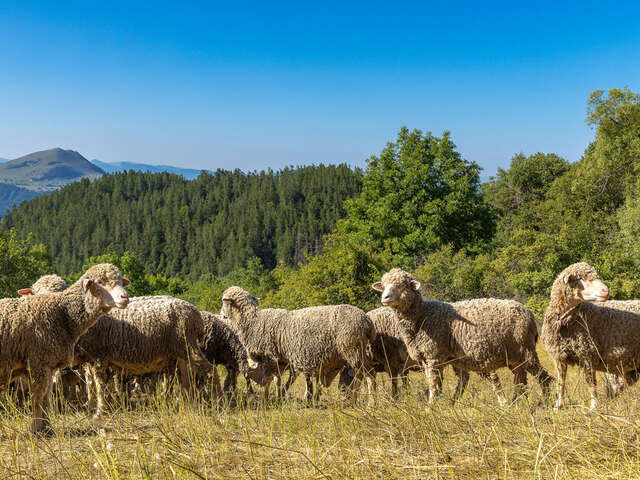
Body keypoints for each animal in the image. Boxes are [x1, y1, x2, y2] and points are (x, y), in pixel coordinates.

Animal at [0, 264, 130, 434]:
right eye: (100, 282)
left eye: (120, 281)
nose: (125, 297)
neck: (62, 314)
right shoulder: (38, 363)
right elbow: (37, 398)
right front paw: (36, 429)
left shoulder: (48, 366)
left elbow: (46, 398)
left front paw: (47, 427)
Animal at [75, 294, 218, 418]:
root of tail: (196, 313)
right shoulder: (89, 359)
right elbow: (90, 384)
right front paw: (90, 407)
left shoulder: (99, 356)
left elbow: (99, 385)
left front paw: (99, 411)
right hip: (177, 353)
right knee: (183, 378)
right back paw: (180, 403)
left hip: (186, 344)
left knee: (210, 370)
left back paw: (218, 401)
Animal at [222, 286, 378, 404]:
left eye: (224, 302)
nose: (221, 314)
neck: (252, 321)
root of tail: (367, 321)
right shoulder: (280, 360)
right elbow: (277, 380)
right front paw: (279, 397)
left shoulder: (269, 357)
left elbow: (269, 380)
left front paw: (267, 399)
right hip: (355, 352)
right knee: (359, 375)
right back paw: (356, 400)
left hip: (353, 349)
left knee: (369, 374)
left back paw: (371, 403)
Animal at [372, 268, 552, 404]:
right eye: (384, 285)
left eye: (402, 286)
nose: (384, 298)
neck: (422, 316)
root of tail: (528, 313)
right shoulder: (428, 359)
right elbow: (435, 385)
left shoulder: (433, 356)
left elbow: (433, 385)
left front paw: (430, 407)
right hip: (514, 356)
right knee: (520, 381)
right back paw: (515, 403)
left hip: (525, 350)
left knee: (543, 378)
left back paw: (544, 403)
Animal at [540, 260, 640, 410]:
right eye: (580, 278)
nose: (606, 291)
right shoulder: (559, 356)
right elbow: (561, 383)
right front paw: (558, 406)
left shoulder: (587, 354)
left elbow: (591, 384)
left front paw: (593, 407)